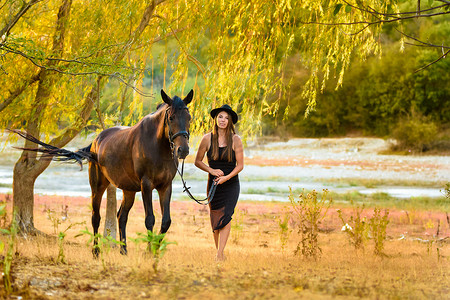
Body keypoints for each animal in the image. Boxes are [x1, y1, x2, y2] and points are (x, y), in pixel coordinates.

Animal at [12, 89, 192, 255]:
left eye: (189, 118)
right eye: (171, 118)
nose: (182, 150)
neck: (157, 146)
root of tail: (95, 141)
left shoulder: (165, 186)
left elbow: (166, 221)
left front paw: (155, 251)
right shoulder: (146, 185)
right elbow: (150, 219)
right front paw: (148, 252)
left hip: (128, 190)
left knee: (121, 216)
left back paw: (123, 250)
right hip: (98, 186)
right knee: (96, 217)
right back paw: (96, 251)